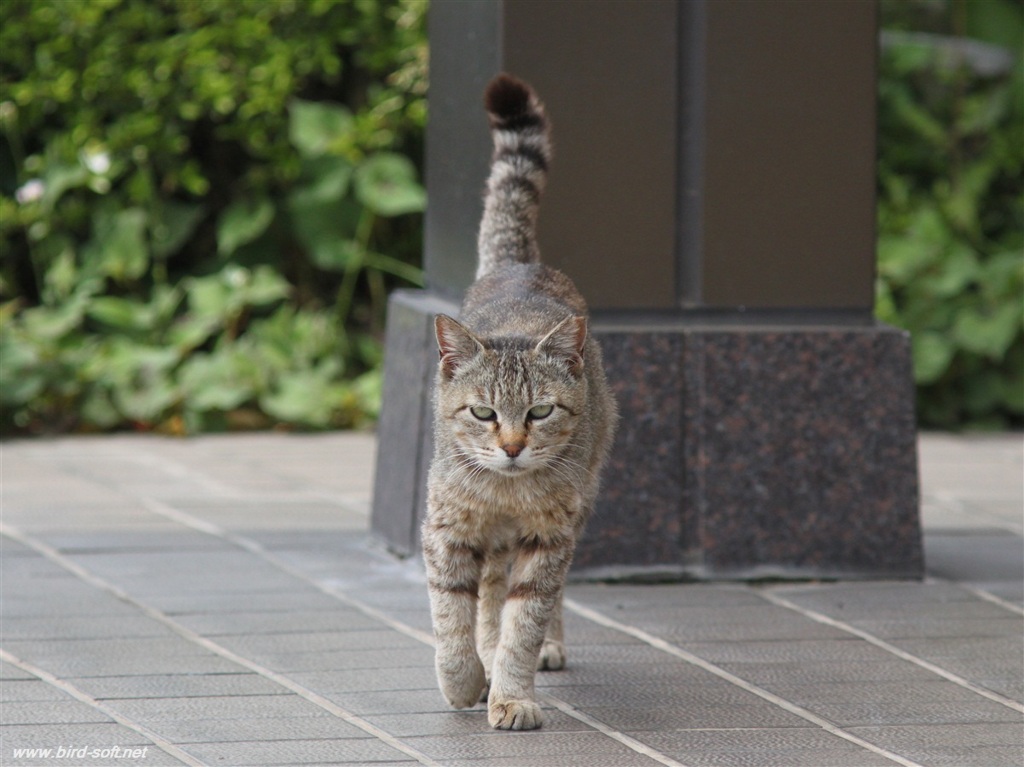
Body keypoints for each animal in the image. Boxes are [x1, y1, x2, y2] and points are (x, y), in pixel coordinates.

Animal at [421, 73, 618, 729]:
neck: (506, 492)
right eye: (483, 412)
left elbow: (524, 621)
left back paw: (545, 649)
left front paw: (511, 693)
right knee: (486, 594)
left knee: (526, 598)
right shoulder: (447, 531)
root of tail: (520, 264)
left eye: (540, 412)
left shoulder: (548, 538)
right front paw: (464, 680)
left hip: (577, 506)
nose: (510, 447)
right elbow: (452, 620)